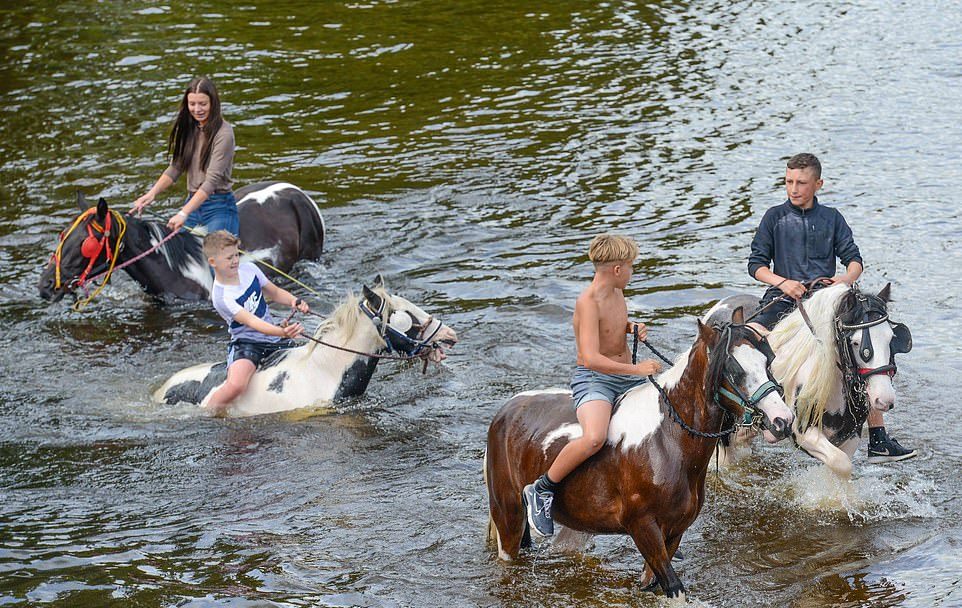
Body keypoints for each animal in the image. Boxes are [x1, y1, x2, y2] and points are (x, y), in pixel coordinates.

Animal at [484, 308, 792, 600]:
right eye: (733, 369)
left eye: (768, 361)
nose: (782, 420)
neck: (667, 442)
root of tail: (506, 411)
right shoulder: (643, 528)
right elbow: (674, 588)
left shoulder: (674, 531)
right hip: (508, 515)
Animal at [700, 282, 912, 478]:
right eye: (856, 343)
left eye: (891, 338)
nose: (884, 398)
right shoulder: (802, 433)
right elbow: (840, 462)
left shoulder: (851, 435)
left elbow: (840, 466)